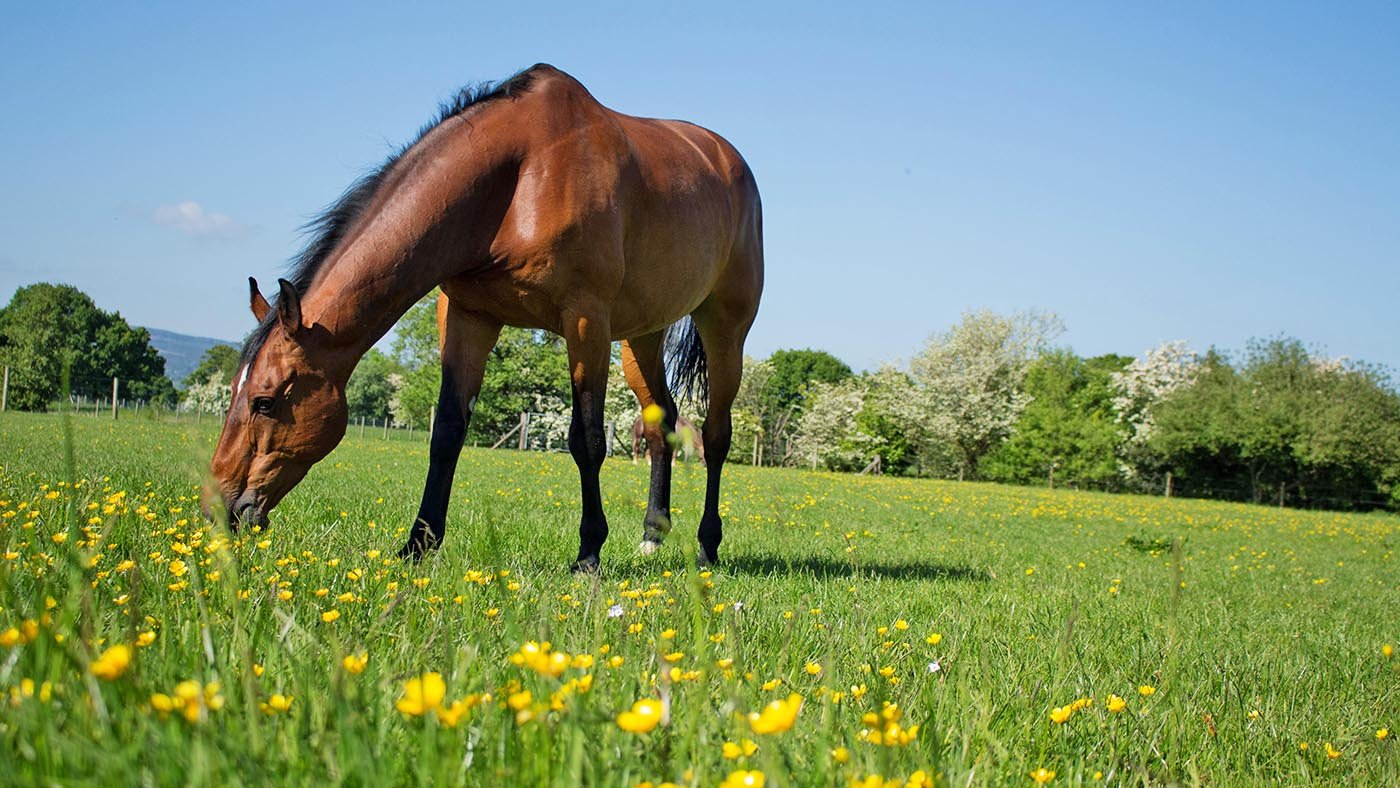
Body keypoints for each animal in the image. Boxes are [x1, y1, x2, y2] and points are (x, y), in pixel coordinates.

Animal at [204, 60, 767, 568]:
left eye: (264, 401)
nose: (219, 508)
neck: (520, 179)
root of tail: (731, 163)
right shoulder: (467, 316)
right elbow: (448, 430)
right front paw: (417, 545)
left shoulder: (584, 320)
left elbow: (586, 439)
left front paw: (588, 552)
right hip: (640, 335)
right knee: (661, 423)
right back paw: (652, 533)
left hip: (724, 327)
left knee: (715, 436)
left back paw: (708, 546)